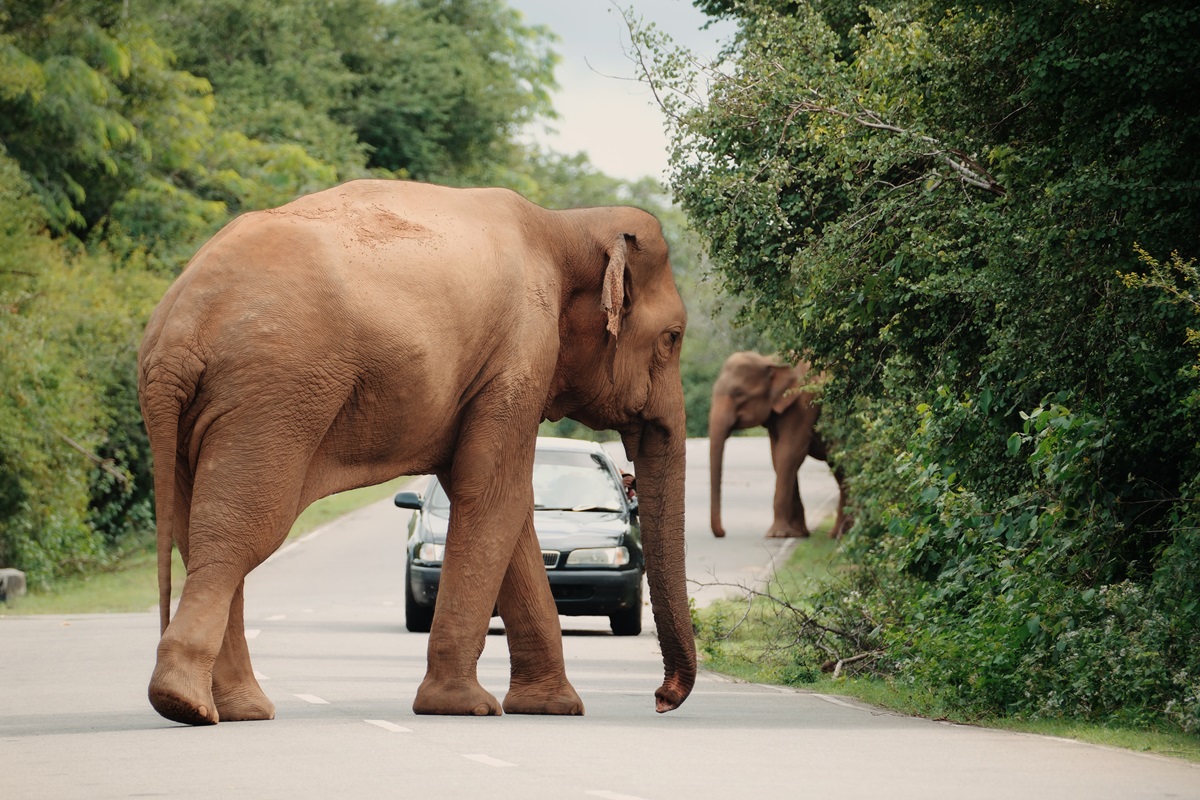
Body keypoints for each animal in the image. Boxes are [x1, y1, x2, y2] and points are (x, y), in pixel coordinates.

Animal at [137, 179, 696, 726]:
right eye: (672, 338)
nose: (659, 699)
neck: (566, 225)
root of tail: (175, 332)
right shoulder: (521, 353)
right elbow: (494, 494)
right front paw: (464, 706)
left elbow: (504, 507)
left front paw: (552, 708)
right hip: (273, 392)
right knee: (243, 529)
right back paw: (186, 703)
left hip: (208, 410)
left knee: (196, 528)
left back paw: (236, 710)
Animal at [708, 351, 847, 539]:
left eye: (739, 393)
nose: (723, 532)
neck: (769, 361)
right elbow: (777, 456)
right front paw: (797, 533)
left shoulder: (803, 403)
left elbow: (789, 452)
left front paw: (777, 534)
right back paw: (838, 533)